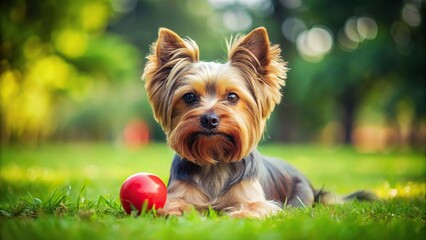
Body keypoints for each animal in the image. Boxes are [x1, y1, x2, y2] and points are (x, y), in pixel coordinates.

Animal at [141, 27, 374, 218]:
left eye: (232, 97)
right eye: (189, 97)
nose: (210, 119)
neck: (215, 162)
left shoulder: (257, 200)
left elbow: (252, 208)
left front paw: (237, 216)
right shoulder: (180, 193)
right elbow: (172, 205)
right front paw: (175, 210)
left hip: (300, 197)